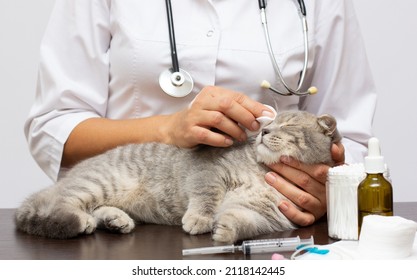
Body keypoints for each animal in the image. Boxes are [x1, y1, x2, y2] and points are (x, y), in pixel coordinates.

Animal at [16, 110, 342, 244]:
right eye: (268, 123)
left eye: (287, 125)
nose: (263, 131)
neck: (262, 171)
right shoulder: (210, 172)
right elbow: (205, 195)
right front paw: (200, 218)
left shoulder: (265, 215)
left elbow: (245, 222)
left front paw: (226, 229)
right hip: (97, 184)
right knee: (60, 205)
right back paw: (77, 219)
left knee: (93, 210)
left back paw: (114, 219)